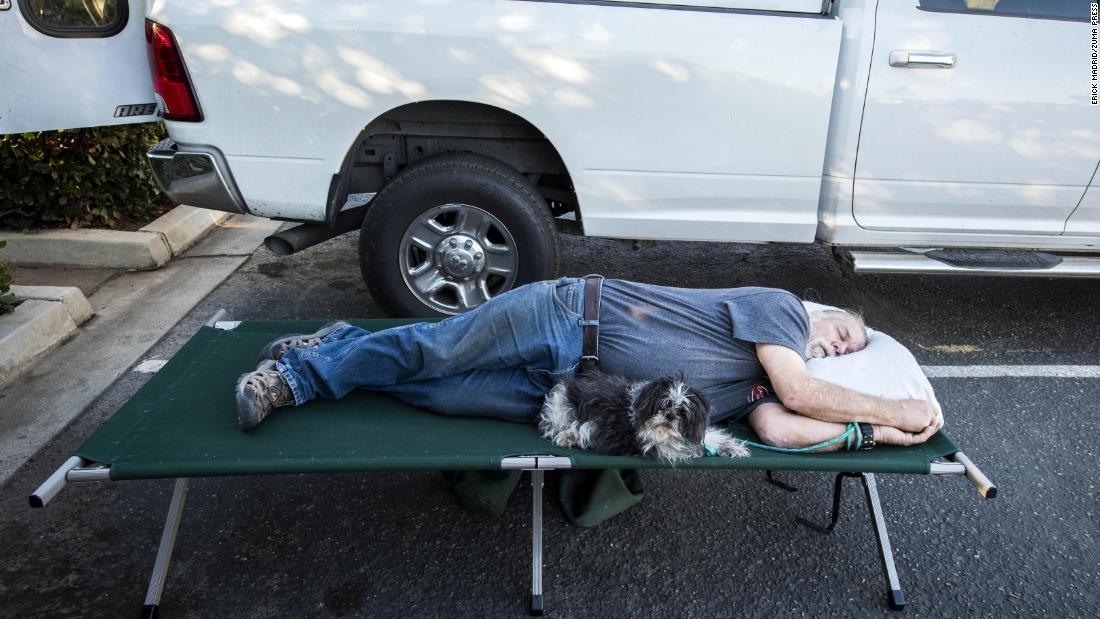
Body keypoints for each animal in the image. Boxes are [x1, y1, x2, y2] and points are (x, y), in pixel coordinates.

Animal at [534, 371, 748, 461]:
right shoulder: (655, 446)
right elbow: (690, 450)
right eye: (665, 406)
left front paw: (733, 447)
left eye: (682, 412)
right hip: (579, 420)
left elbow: (712, 438)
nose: (670, 416)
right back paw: (567, 437)